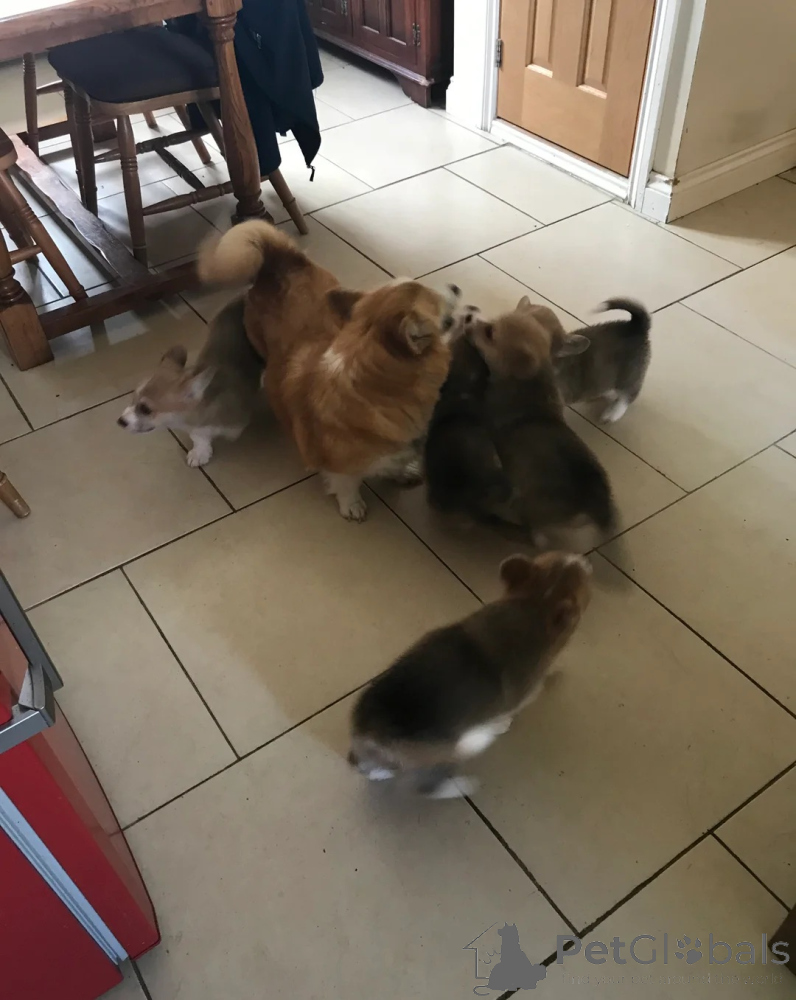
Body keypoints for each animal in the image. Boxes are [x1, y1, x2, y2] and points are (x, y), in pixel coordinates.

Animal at [117, 295, 263, 466]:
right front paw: (201, 452)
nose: (120, 421)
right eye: (133, 398)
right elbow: (198, 436)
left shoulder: (235, 424)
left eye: (146, 409)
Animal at [198, 221, 461, 520]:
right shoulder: (338, 464)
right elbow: (346, 483)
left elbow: (394, 463)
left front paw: (403, 472)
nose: (455, 286)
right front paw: (353, 506)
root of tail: (278, 258)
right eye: (436, 298)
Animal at [348, 551, 592, 798]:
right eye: (587, 586)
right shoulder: (518, 698)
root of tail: (371, 733)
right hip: (442, 757)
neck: (534, 605)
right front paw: (503, 724)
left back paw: (380, 772)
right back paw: (463, 781)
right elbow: (507, 712)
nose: (584, 559)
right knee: (427, 788)